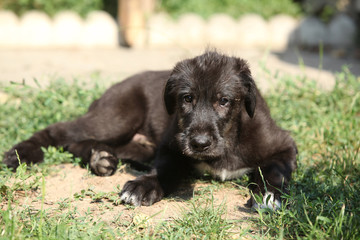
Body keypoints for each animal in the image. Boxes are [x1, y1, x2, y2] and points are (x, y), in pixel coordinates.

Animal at [2, 51, 296, 210]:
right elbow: (166, 169)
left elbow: (275, 170)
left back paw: (101, 158)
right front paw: (145, 186)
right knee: (60, 132)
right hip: (116, 117)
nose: (199, 143)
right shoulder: (171, 146)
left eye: (224, 100)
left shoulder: (283, 144)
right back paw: (20, 154)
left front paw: (268, 196)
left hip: (137, 144)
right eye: (186, 98)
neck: (230, 140)